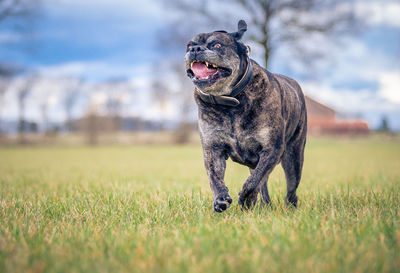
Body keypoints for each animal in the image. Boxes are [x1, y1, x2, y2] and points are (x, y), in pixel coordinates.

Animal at [184, 20, 306, 212]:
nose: (195, 49)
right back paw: (265, 204)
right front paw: (221, 198)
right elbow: (214, 178)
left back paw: (289, 207)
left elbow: (254, 181)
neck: (228, 102)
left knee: (290, 188)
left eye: (217, 45)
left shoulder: (271, 149)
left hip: (293, 157)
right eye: (189, 46)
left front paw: (246, 200)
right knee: (263, 184)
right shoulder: (213, 150)